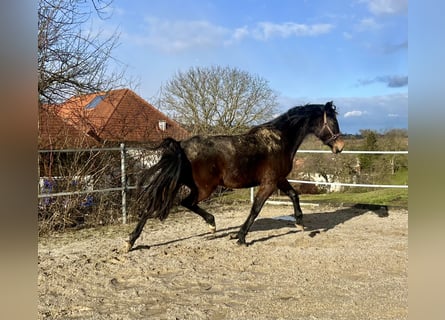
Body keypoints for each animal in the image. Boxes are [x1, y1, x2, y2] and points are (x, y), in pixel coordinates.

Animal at [125, 101, 344, 251]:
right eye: (333, 122)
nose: (340, 147)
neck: (280, 140)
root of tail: (181, 146)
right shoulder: (269, 183)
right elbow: (256, 209)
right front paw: (241, 237)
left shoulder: (279, 179)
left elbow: (294, 195)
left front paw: (299, 222)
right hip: (204, 188)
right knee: (184, 203)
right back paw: (211, 224)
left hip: (181, 183)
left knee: (154, 206)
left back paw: (131, 241)